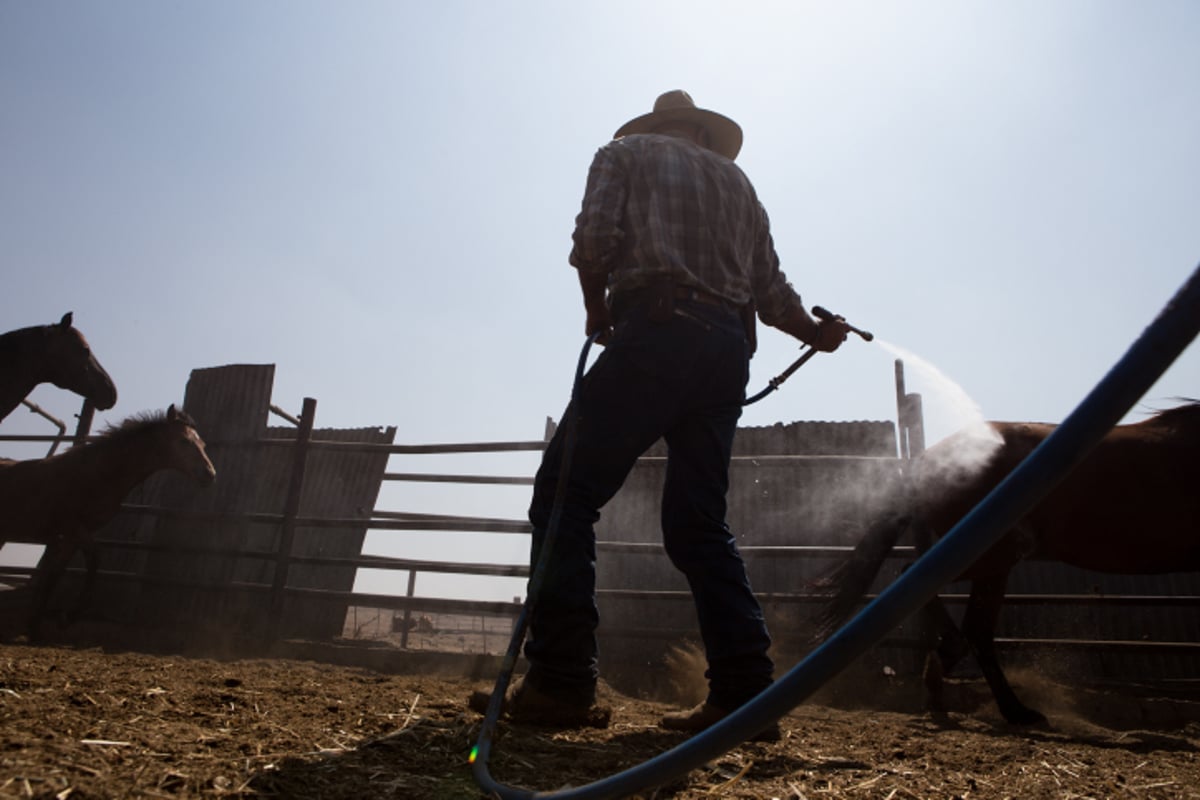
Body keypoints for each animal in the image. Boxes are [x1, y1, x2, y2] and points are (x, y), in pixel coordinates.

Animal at [0, 407, 216, 638]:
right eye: (183, 441)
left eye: (202, 444)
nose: (209, 474)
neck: (97, 474)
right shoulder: (74, 527)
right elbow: (95, 559)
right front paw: (69, 617)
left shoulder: (72, 536)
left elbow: (54, 576)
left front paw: (35, 628)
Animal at [816, 400, 1200, 724]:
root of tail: (928, 461)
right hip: (989, 555)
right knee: (933, 594)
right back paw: (999, 700)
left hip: (991, 562)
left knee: (974, 628)